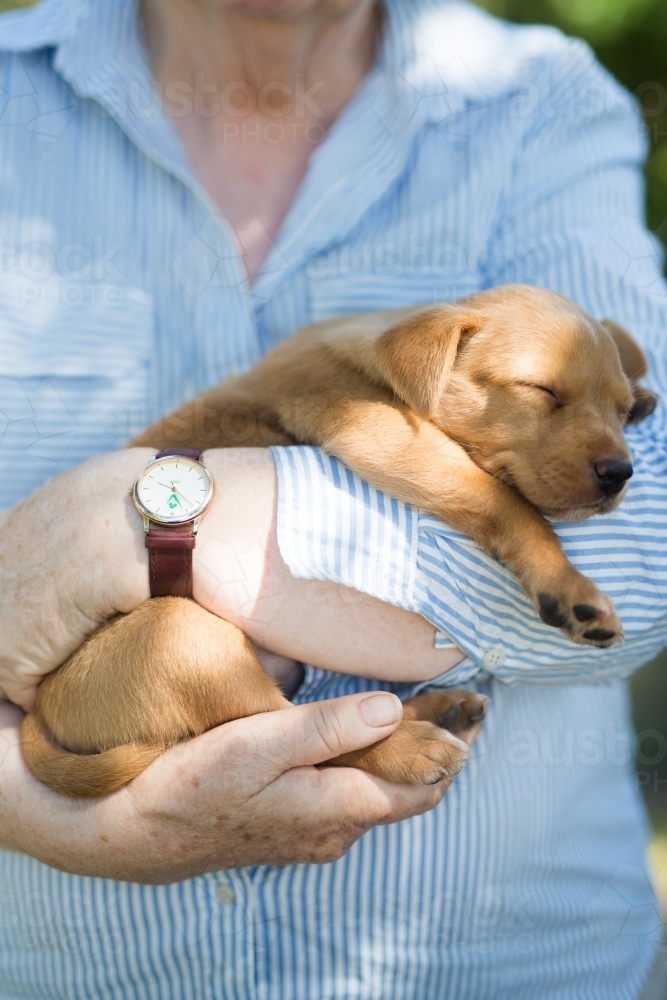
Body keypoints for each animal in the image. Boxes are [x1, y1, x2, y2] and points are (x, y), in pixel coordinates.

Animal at [20, 284, 656, 796]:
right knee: (295, 737)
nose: (621, 472)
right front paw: (570, 586)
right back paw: (409, 745)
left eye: (623, 411)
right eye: (540, 390)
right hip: (182, 637)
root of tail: (40, 710)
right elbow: (510, 504)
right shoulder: (379, 431)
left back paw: (436, 708)